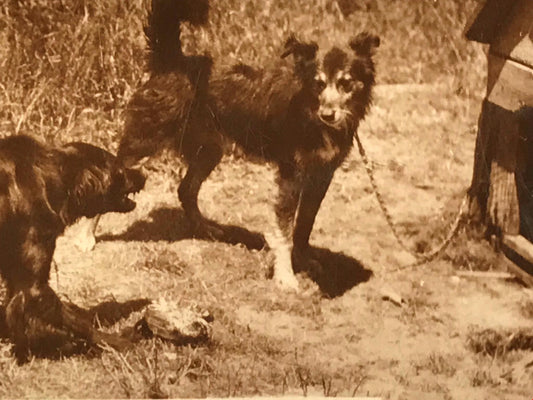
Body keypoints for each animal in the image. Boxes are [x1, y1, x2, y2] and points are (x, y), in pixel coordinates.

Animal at [0, 134, 145, 362]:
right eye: (119, 168)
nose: (143, 173)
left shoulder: (15, 274)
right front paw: (116, 341)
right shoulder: (33, 286)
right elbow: (78, 322)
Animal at [92, 0, 378, 290]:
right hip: (144, 140)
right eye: (318, 83)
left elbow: (304, 225)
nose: (328, 115)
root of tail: (173, 60)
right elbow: (285, 232)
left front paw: (304, 259)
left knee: (186, 190)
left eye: (345, 82)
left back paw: (206, 229)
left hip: (209, 151)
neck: (308, 108)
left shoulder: (322, 174)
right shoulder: (291, 175)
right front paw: (285, 276)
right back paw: (87, 237)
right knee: (115, 176)